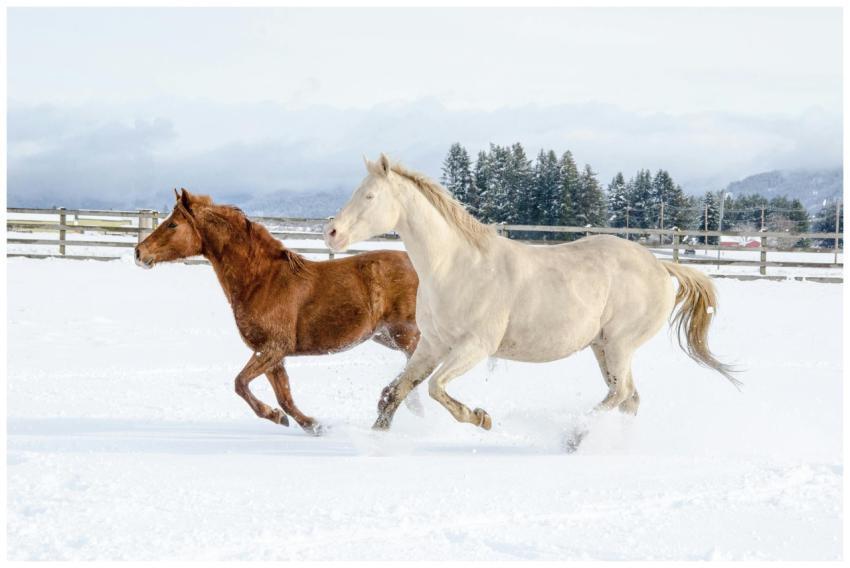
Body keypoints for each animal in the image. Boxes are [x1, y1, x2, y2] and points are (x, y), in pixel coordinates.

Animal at [135, 189, 421, 435]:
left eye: (173, 224)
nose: (139, 253)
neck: (262, 279)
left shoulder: (273, 347)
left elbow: (240, 383)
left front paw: (277, 416)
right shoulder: (273, 355)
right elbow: (284, 397)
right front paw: (311, 425)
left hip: (404, 333)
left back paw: (389, 409)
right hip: (384, 336)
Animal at [324, 154, 739, 434]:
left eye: (370, 196)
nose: (331, 233)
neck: (456, 266)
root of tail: (661, 266)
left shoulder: (476, 346)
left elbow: (436, 388)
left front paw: (481, 418)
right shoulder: (432, 343)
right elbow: (397, 391)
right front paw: (378, 437)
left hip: (620, 344)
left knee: (620, 395)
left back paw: (575, 436)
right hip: (603, 347)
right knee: (628, 398)